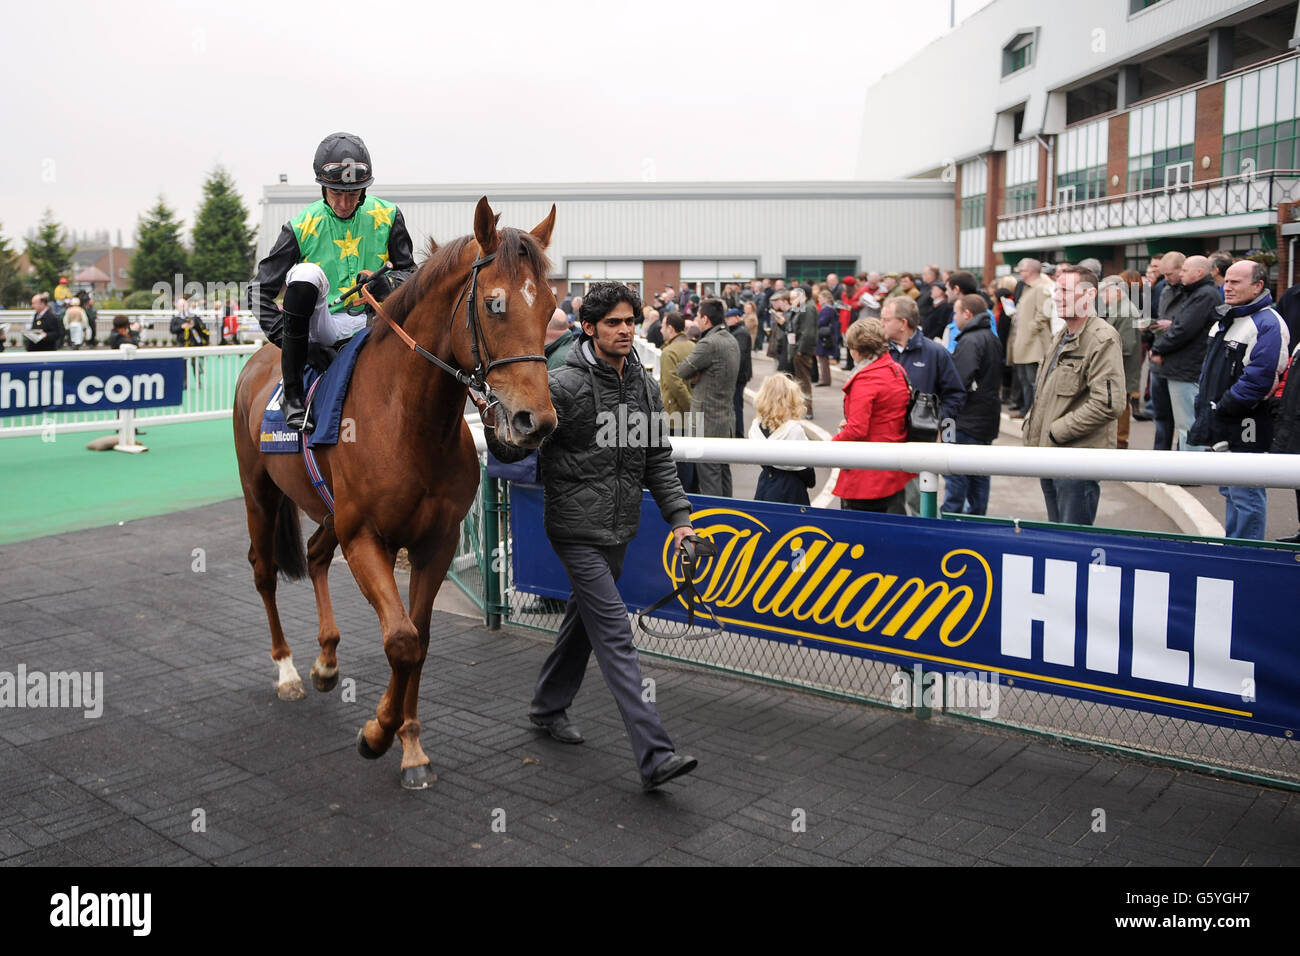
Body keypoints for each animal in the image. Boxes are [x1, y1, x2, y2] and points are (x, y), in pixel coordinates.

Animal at [235, 197, 559, 790]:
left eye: (550, 306)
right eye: (495, 304)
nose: (535, 421)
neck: (409, 421)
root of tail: (260, 360)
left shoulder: (436, 541)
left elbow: (420, 638)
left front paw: (410, 745)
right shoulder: (368, 537)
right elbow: (401, 639)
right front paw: (376, 734)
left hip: (327, 512)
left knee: (315, 555)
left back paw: (326, 662)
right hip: (259, 493)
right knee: (265, 571)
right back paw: (287, 669)